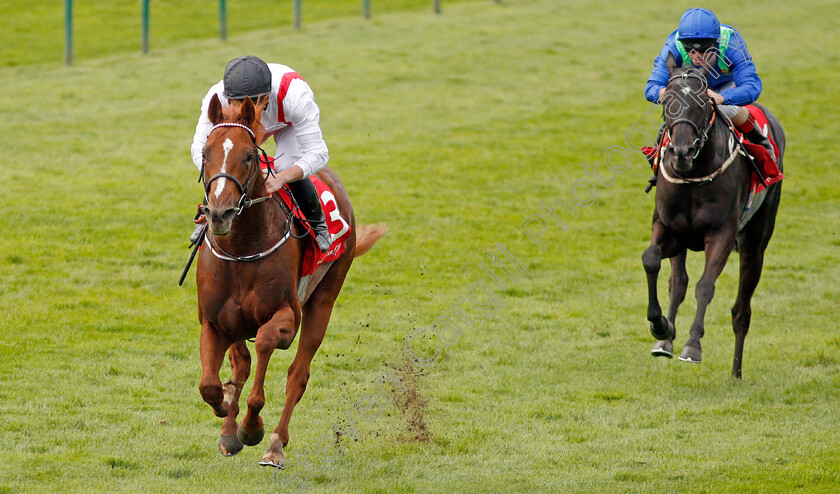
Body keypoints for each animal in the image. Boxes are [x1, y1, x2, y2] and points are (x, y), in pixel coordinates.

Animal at [195, 93, 386, 466]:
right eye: (206, 153)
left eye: (249, 155)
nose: (219, 213)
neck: (242, 247)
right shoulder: (214, 320)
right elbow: (210, 384)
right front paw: (226, 410)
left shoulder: (287, 316)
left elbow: (267, 342)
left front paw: (251, 426)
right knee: (241, 363)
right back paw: (229, 427)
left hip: (324, 299)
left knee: (298, 374)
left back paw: (274, 445)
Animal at [644, 54, 788, 378]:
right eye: (667, 101)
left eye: (702, 102)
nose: (681, 152)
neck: (694, 174)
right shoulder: (671, 230)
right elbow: (652, 261)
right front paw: (660, 326)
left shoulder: (721, 233)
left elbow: (705, 286)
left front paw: (692, 346)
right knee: (678, 282)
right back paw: (666, 340)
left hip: (755, 241)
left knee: (742, 310)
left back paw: (736, 373)